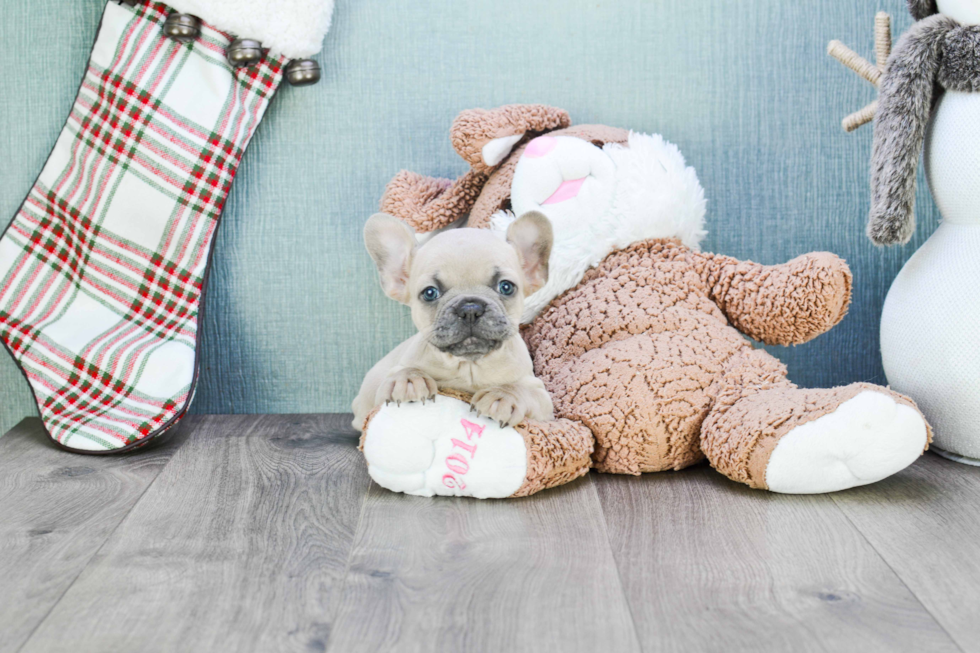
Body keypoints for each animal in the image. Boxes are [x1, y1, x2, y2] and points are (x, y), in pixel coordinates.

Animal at [352, 211, 556, 430]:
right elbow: (403, 372)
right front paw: (408, 379)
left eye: (506, 287)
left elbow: (520, 389)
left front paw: (503, 396)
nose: (470, 309)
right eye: (430, 293)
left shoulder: (540, 396)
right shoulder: (383, 389)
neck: (469, 366)